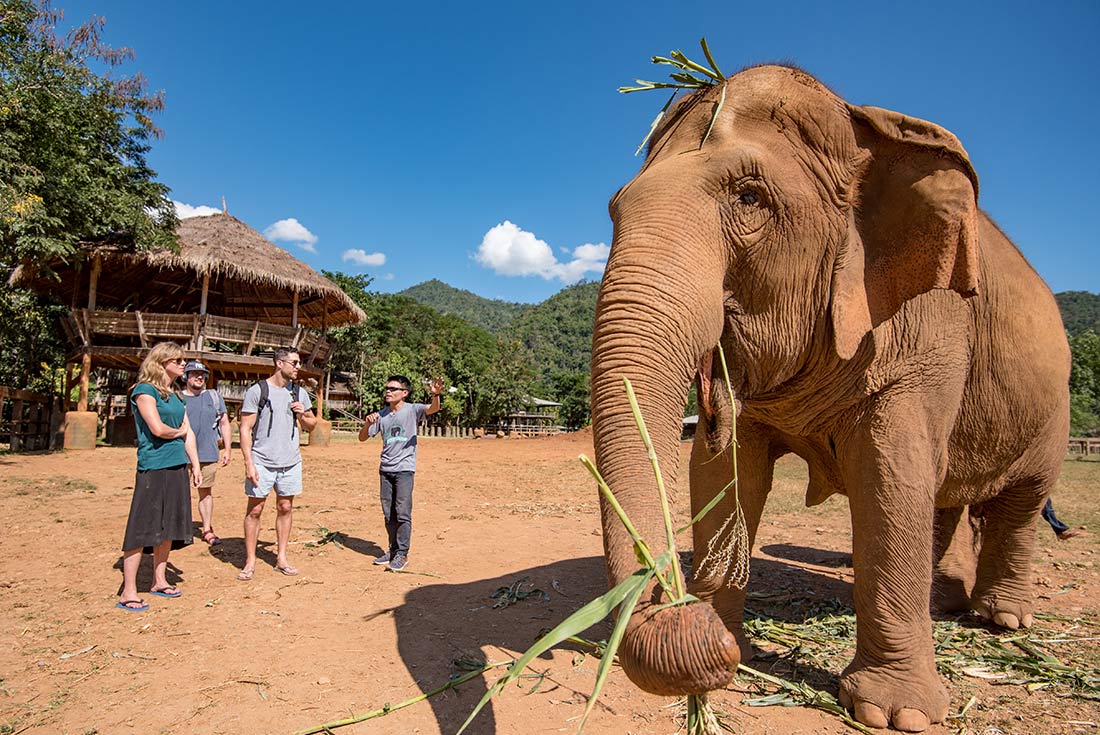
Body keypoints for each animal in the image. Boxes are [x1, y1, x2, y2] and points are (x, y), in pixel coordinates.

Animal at [590, 64, 1069, 733]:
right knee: (945, 496)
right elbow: (723, 471)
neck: (861, 124)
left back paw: (1003, 619)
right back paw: (943, 603)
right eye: (614, 209)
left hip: (1054, 410)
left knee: (1019, 504)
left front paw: (897, 714)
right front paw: (731, 647)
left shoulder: (930, 327)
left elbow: (892, 473)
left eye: (750, 197)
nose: (682, 612)